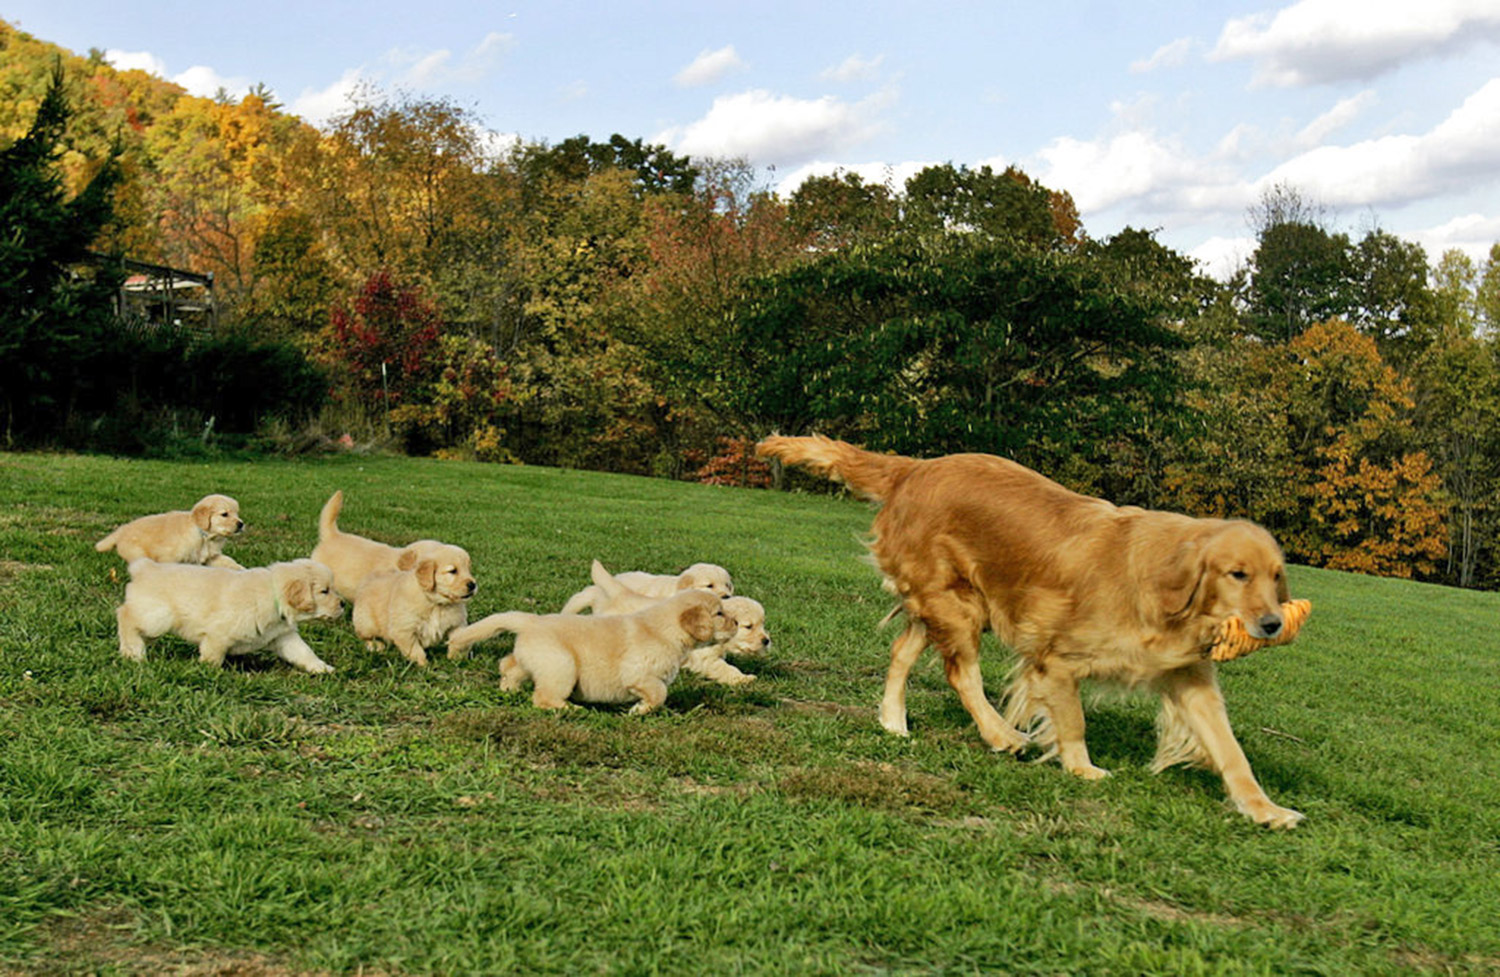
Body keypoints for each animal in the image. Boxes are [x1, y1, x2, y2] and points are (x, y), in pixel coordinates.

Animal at [96, 492, 246, 570]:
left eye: (237, 513)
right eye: (224, 514)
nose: (241, 524)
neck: (205, 536)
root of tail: (123, 528)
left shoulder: (211, 556)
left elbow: (228, 561)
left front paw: (242, 570)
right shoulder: (169, 557)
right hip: (137, 552)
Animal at [114, 558, 343, 672]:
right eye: (325, 591)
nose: (342, 604)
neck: (273, 594)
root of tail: (145, 567)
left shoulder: (282, 636)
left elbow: (304, 652)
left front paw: (321, 667)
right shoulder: (218, 635)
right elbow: (213, 655)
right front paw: (209, 672)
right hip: (157, 616)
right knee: (124, 616)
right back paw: (133, 653)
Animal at [447, 585, 735, 714]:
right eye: (719, 613)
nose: (736, 623)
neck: (665, 629)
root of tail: (532, 620)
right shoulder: (638, 674)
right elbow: (659, 693)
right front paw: (639, 710)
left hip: (533, 660)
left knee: (509, 665)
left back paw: (509, 689)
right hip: (562, 667)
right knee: (542, 698)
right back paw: (571, 709)